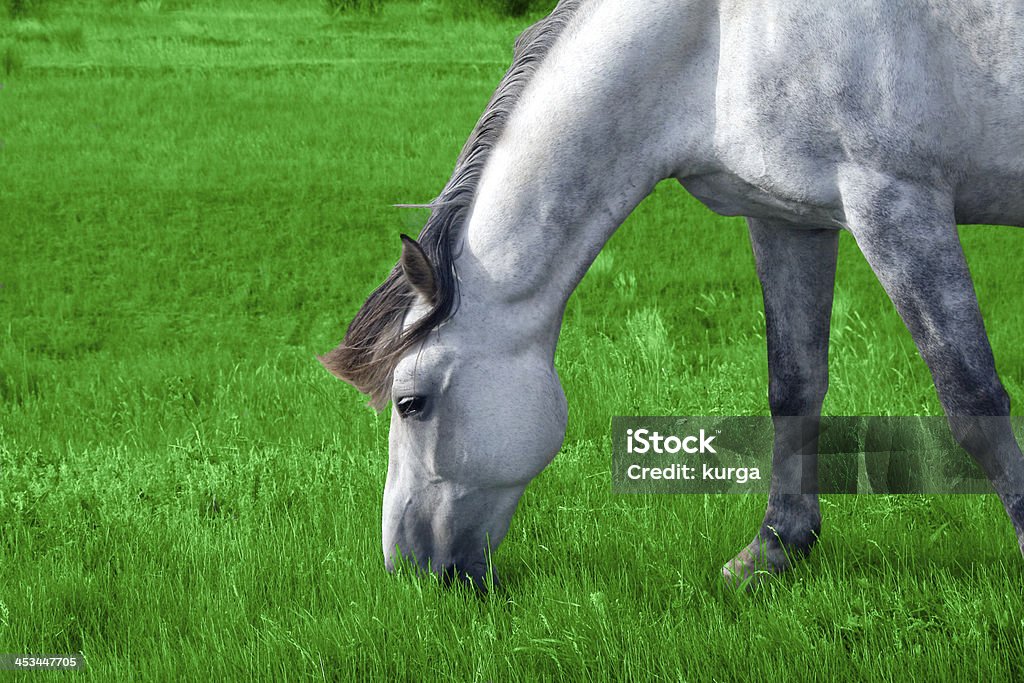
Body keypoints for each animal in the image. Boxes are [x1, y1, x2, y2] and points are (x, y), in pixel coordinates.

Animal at [323, 0, 1024, 589]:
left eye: (411, 403)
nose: (408, 570)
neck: (719, 32)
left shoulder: (896, 204)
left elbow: (973, 400)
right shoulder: (787, 220)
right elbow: (793, 387)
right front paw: (774, 549)